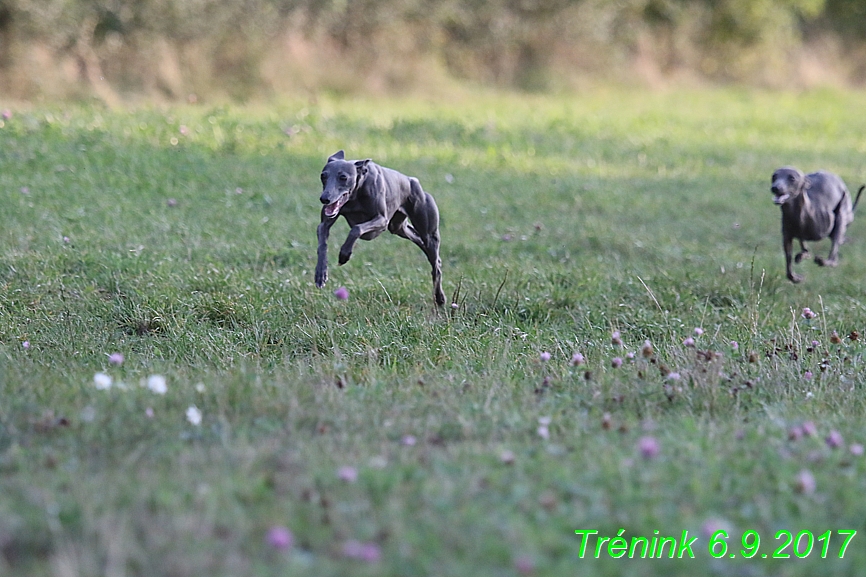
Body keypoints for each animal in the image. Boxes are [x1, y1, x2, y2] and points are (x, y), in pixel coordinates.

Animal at [314, 150, 442, 306]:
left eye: (343, 177)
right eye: (323, 176)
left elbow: (356, 229)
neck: (356, 193)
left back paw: (440, 297)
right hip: (399, 228)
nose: (324, 199)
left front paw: (344, 254)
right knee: (423, 245)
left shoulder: (381, 220)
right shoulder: (324, 224)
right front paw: (320, 273)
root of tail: (412, 181)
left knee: (435, 265)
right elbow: (322, 243)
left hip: (428, 233)